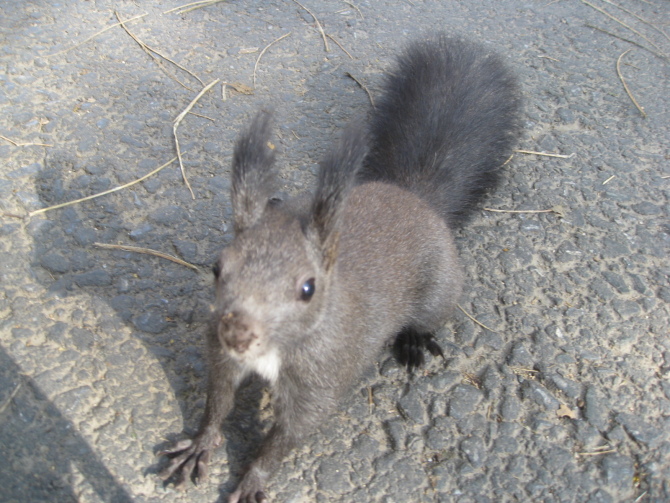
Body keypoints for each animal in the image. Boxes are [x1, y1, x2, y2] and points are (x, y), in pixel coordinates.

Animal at [159, 33, 524, 502]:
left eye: (308, 288)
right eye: (217, 267)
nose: (237, 333)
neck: (278, 350)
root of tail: (414, 196)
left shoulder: (321, 382)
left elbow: (286, 437)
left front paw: (253, 478)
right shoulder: (223, 359)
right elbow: (217, 402)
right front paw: (200, 443)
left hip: (440, 289)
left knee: (429, 318)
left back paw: (412, 341)